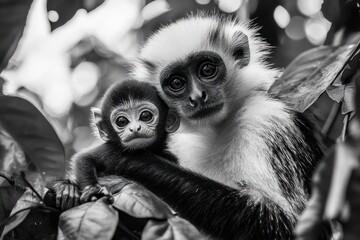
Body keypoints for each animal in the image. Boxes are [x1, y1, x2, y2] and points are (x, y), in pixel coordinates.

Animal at [51, 79, 179, 208]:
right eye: (122, 121)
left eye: (145, 116)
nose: (135, 128)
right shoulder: (108, 149)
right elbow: (83, 159)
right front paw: (93, 191)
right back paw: (67, 190)